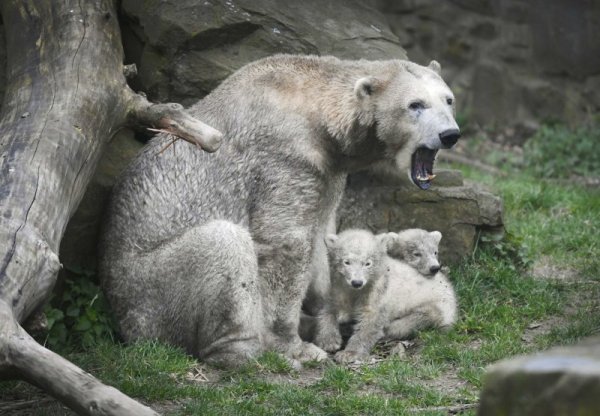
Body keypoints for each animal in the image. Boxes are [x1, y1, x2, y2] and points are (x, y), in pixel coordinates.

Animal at [101, 53, 462, 366]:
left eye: (448, 100)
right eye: (415, 105)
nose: (450, 134)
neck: (316, 111)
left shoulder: (327, 170)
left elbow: (321, 233)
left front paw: (326, 318)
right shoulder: (285, 157)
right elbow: (285, 243)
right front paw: (295, 346)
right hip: (150, 291)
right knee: (224, 243)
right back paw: (244, 351)